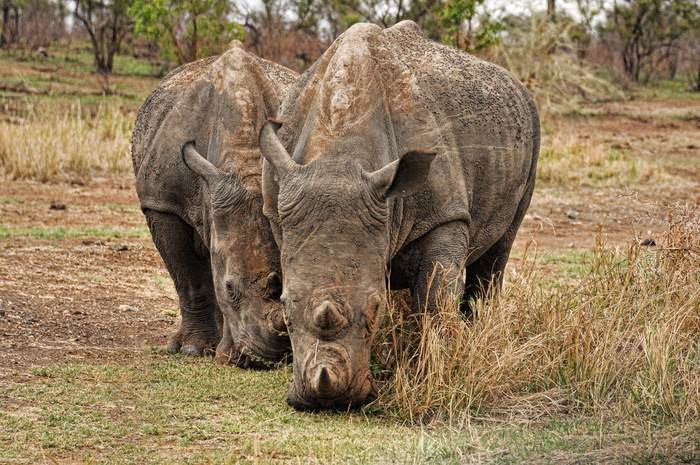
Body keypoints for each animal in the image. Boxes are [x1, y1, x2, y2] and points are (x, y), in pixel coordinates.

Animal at [260, 21, 540, 408]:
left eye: (376, 309)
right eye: (284, 309)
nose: (328, 401)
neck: (339, 155)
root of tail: (517, 84)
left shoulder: (445, 214)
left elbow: (435, 299)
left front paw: (429, 375)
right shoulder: (279, 211)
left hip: (531, 125)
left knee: (500, 247)